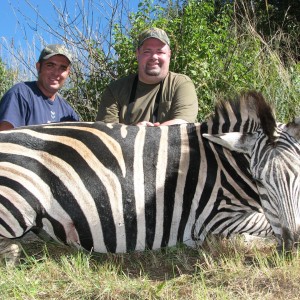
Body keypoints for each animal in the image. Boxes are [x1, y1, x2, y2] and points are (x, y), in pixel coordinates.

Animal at [0, 90, 298, 264]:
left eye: (299, 176)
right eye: (259, 181)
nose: (294, 245)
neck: (222, 162)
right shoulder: (213, 218)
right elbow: (260, 226)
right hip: (17, 202)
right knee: (9, 247)